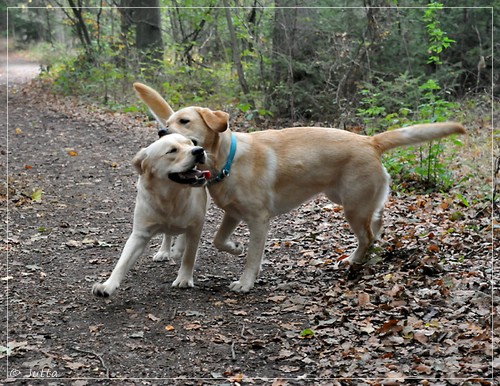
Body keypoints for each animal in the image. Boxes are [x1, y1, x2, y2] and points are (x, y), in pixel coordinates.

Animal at [93, 134, 209, 298]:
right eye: (172, 150)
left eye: (190, 143)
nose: (199, 150)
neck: (169, 197)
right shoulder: (140, 234)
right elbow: (122, 262)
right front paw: (107, 285)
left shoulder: (196, 227)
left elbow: (189, 255)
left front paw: (184, 279)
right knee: (168, 234)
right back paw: (164, 251)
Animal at [133, 81, 464, 292]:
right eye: (168, 123)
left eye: (184, 122)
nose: (161, 131)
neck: (227, 160)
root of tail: (370, 140)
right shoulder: (233, 213)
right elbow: (218, 240)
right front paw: (235, 247)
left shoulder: (258, 220)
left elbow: (252, 258)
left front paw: (246, 282)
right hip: (350, 199)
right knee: (378, 222)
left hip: (353, 208)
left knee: (367, 236)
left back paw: (355, 260)